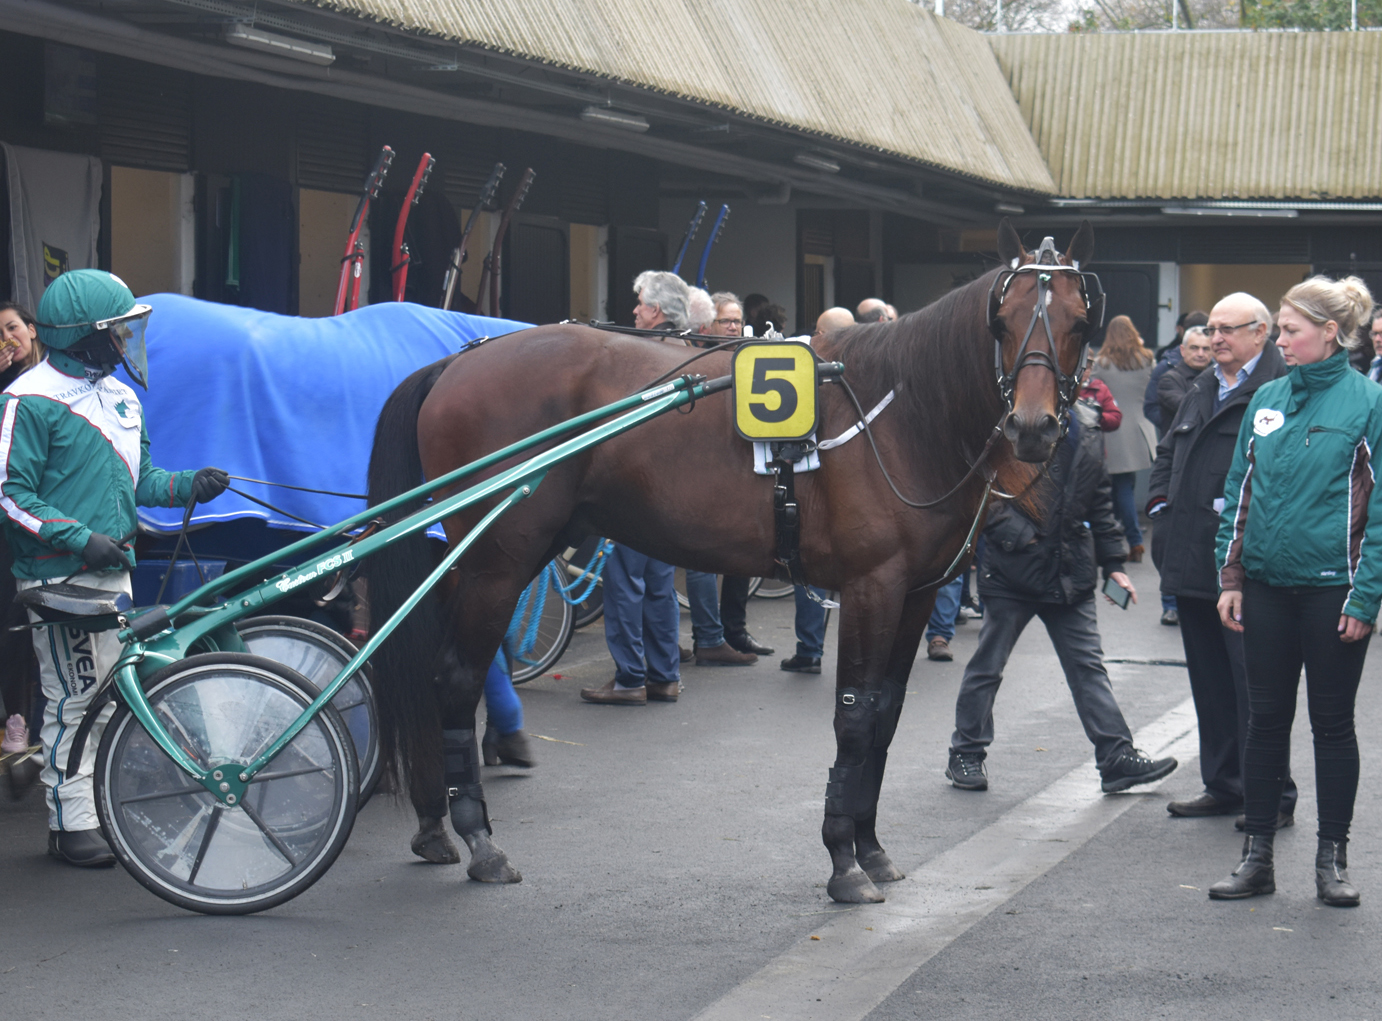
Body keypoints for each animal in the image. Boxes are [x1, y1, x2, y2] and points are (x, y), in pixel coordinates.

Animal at [367, 218, 1100, 900]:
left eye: (1078, 320)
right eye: (1001, 321)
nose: (1032, 428)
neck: (899, 409)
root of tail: (459, 360)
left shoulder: (917, 592)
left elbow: (885, 717)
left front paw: (870, 846)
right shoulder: (872, 588)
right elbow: (855, 717)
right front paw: (844, 858)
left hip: (481, 563)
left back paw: (437, 823)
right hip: (495, 563)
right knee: (456, 679)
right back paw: (478, 838)